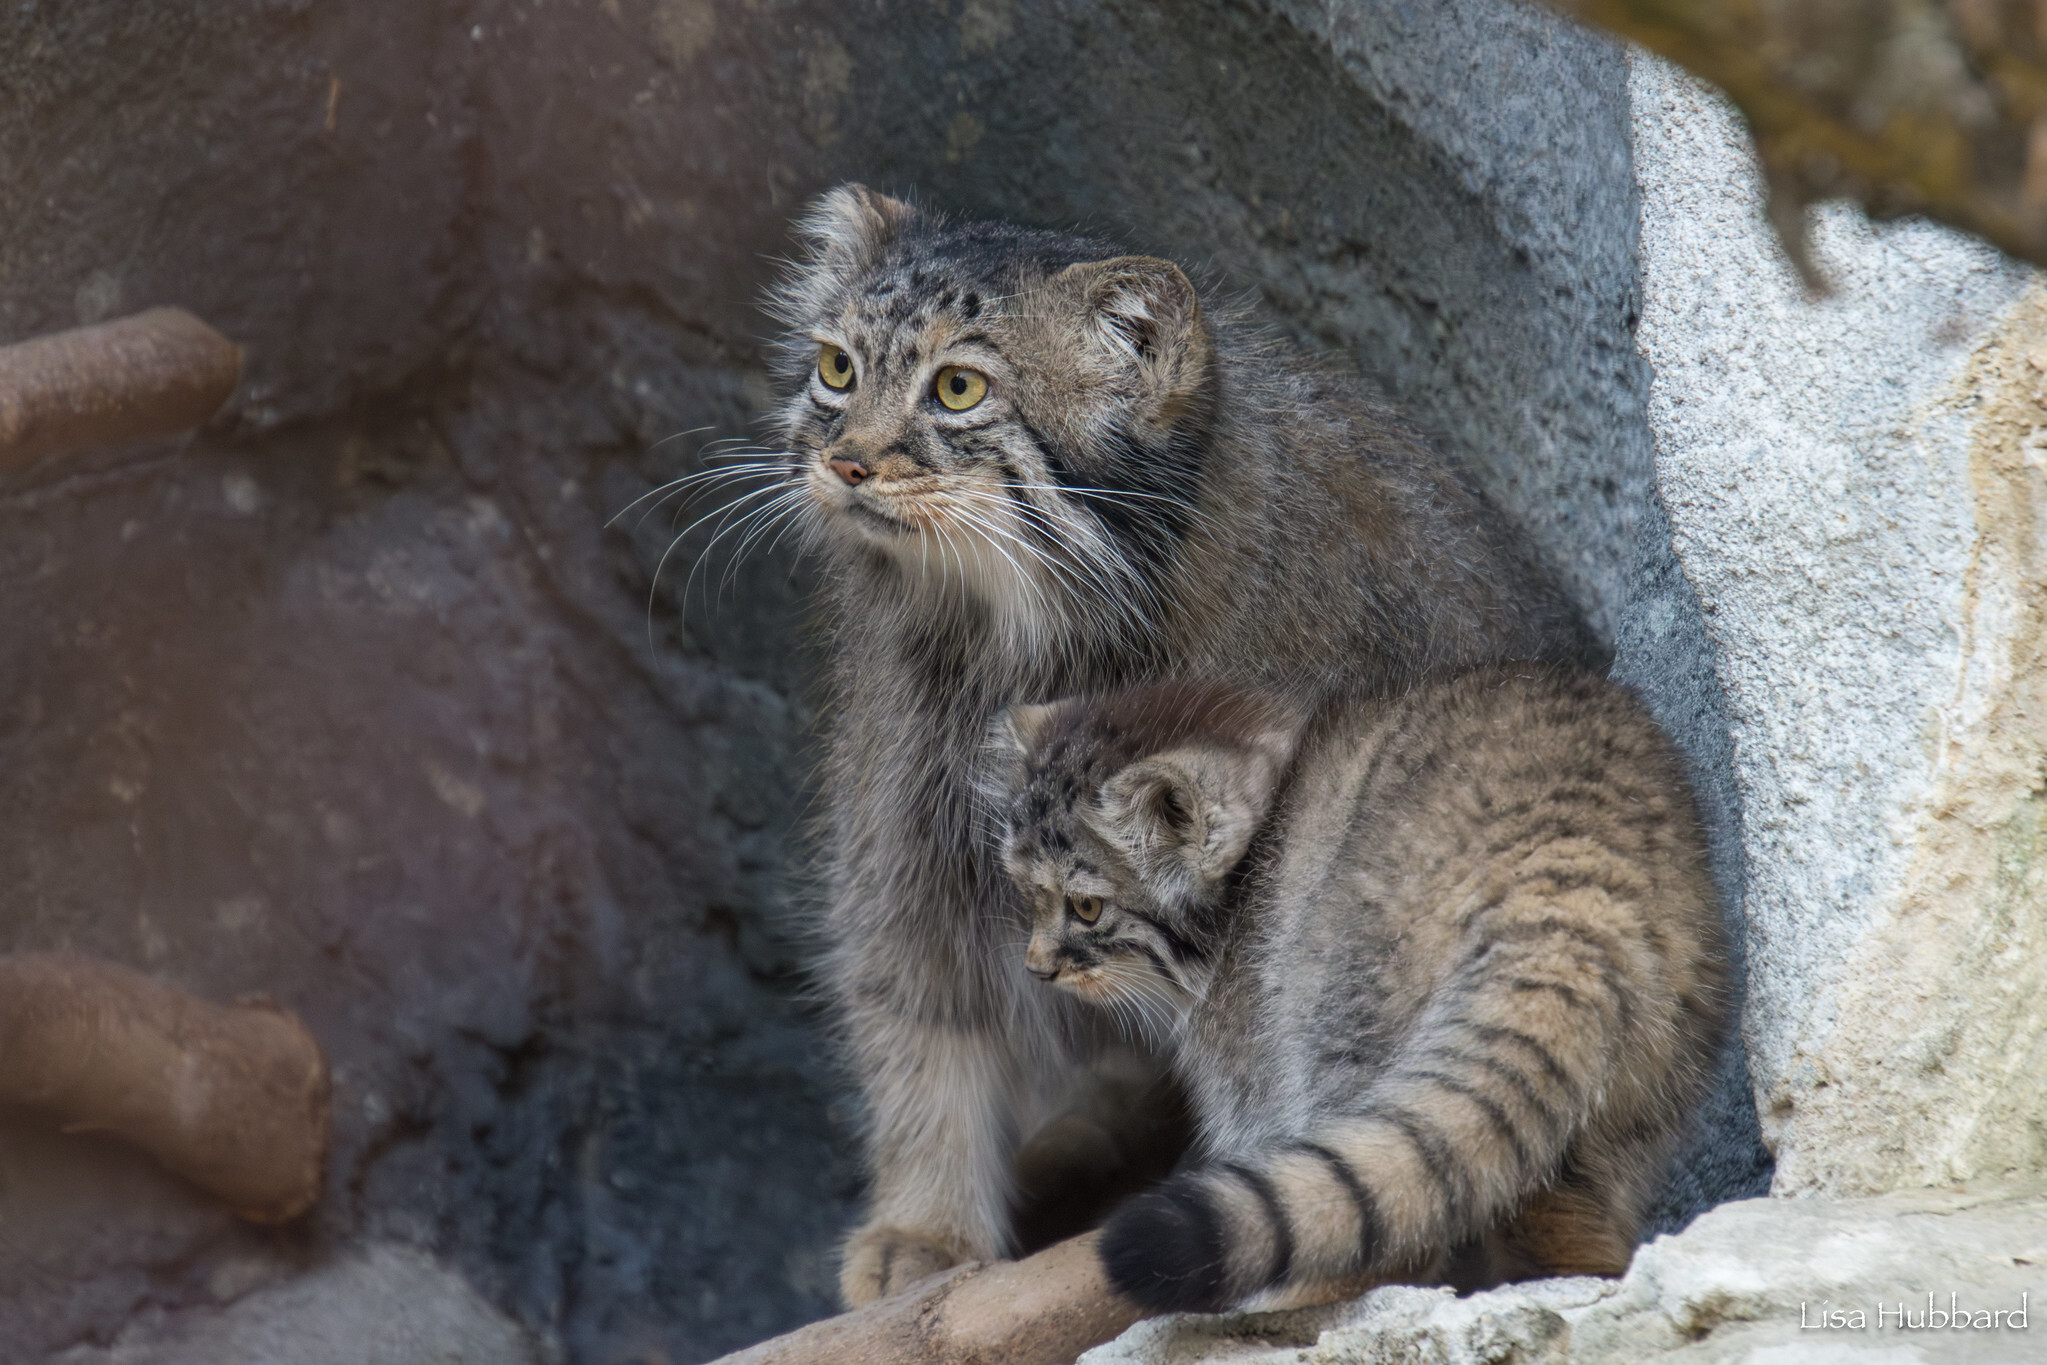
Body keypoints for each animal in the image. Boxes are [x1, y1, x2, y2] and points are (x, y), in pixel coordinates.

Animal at [749, 187, 1596, 1309]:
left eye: (959, 388)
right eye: (835, 369)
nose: (842, 460)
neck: (1022, 636)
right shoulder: (908, 825)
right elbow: (920, 1015)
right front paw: (925, 1226)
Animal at [990, 671, 1727, 1309]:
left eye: (1086, 909)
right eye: (1029, 896)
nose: (1036, 968)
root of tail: (1567, 847)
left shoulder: (1247, 1036)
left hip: (1337, 994)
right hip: (1650, 1065)